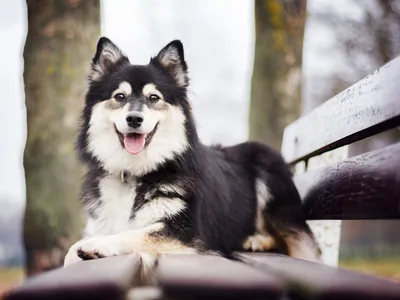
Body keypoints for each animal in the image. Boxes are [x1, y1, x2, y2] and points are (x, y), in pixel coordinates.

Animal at [65, 38, 322, 268]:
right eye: (120, 96)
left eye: (153, 98)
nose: (134, 119)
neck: (136, 173)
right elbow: (69, 253)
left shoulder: (187, 234)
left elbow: (133, 233)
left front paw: (98, 245)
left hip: (267, 168)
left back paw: (255, 240)